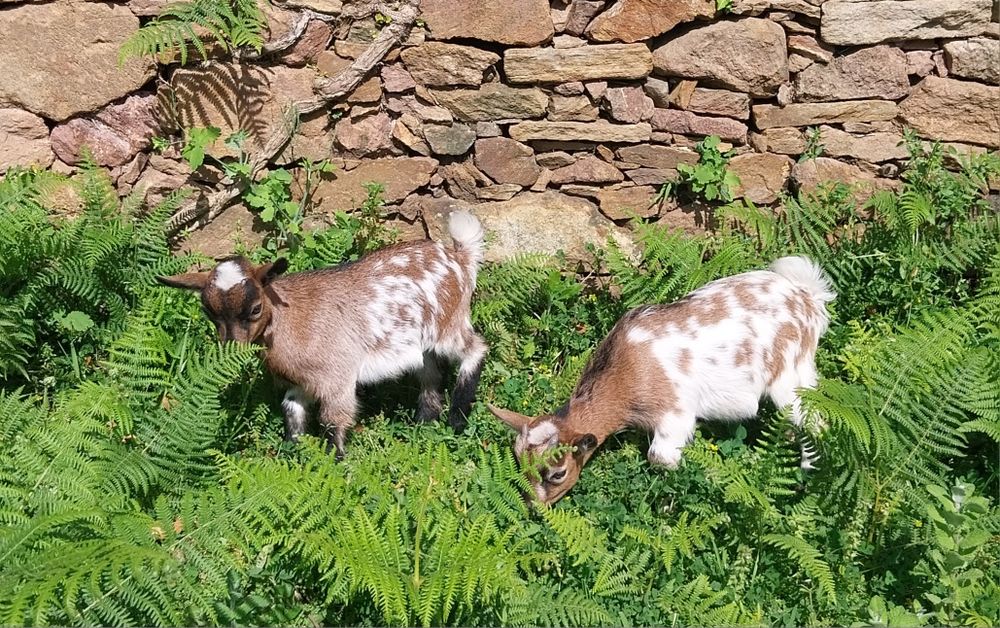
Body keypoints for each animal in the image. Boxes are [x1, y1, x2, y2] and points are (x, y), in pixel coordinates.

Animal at [158, 211, 488, 458]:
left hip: (448, 323)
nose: (231, 348)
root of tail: (458, 258)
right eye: (208, 312)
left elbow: (333, 421)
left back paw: (456, 418)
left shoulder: (336, 377)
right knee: (430, 373)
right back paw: (424, 423)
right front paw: (292, 453)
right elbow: (292, 413)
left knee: (476, 348)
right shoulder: (302, 382)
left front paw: (334, 464)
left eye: (255, 308)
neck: (290, 319)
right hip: (421, 343)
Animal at [488, 256, 835, 505]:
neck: (625, 375)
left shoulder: (675, 413)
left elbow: (661, 459)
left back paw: (810, 474)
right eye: (519, 462)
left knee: (815, 421)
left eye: (558, 473)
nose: (533, 508)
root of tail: (807, 297)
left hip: (788, 374)